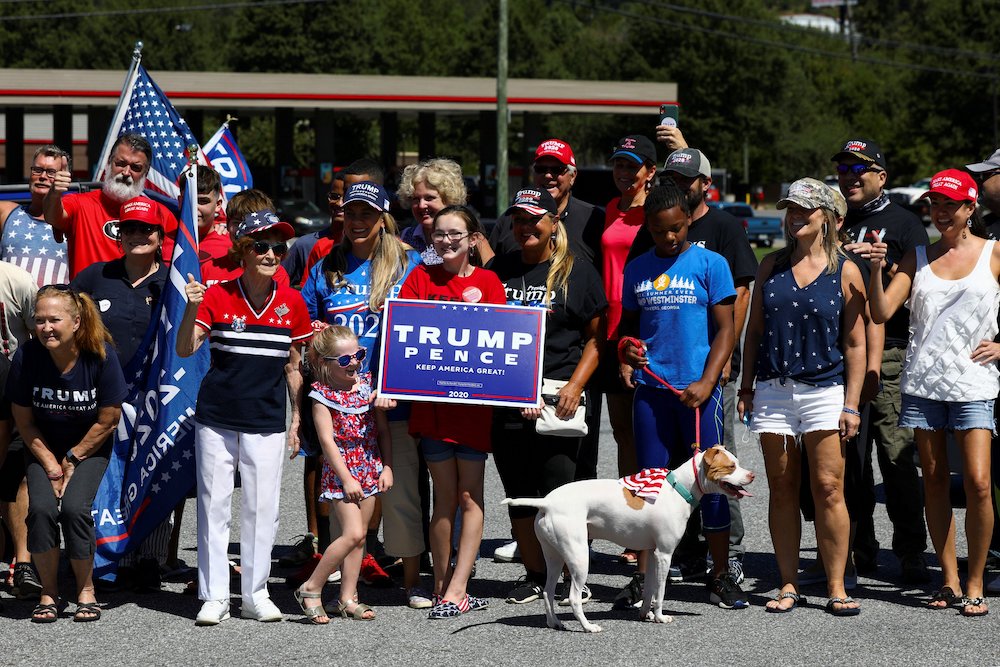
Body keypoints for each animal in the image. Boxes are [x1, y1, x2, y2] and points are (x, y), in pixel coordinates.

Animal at [504, 446, 752, 636]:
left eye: (737, 463)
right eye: (731, 466)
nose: (752, 475)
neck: (678, 489)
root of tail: (546, 502)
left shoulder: (653, 554)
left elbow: (650, 588)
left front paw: (646, 614)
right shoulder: (664, 555)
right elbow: (661, 591)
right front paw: (660, 616)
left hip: (554, 557)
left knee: (547, 591)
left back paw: (555, 623)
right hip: (578, 557)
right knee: (574, 597)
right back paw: (588, 627)